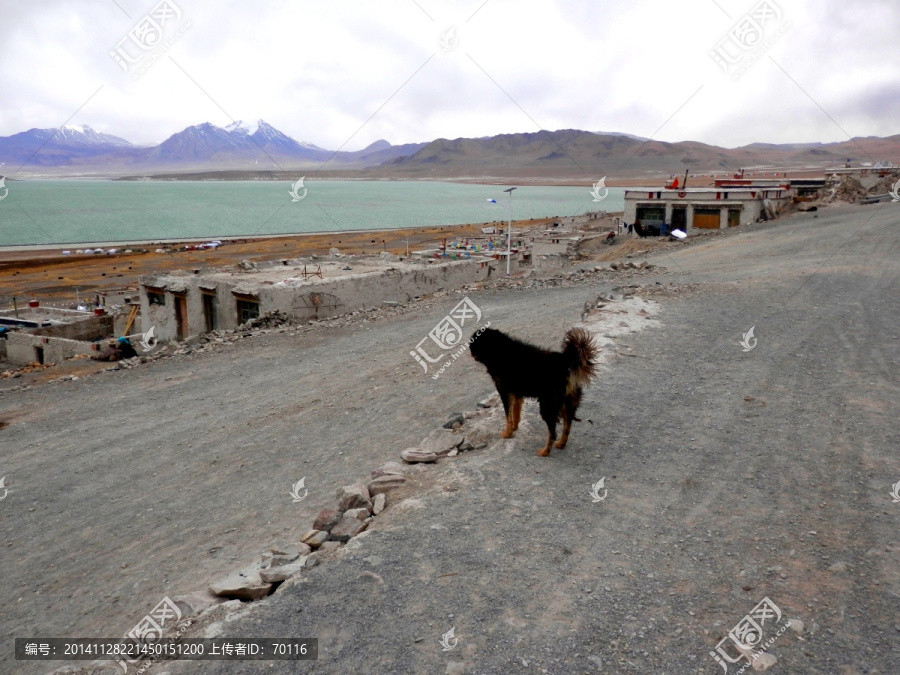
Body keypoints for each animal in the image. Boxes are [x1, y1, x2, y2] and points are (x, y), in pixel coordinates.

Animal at [472, 328, 596, 456]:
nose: (470, 353)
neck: (499, 350)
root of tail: (565, 364)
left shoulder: (505, 394)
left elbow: (508, 417)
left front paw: (508, 433)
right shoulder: (517, 395)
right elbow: (516, 414)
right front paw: (514, 428)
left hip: (548, 406)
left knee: (553, 433)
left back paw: (545, 452)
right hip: (567, 404)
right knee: (567, 426)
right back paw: (561, 444)